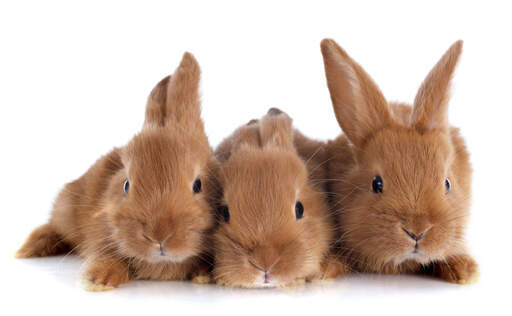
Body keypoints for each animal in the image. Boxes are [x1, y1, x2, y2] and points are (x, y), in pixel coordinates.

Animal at [15, 52, 219, 292]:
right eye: (126, 185)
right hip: (64, 209)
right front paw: (97, 280)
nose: (158, 235)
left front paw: (203, 275)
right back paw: (29, 248)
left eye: (198, 185)